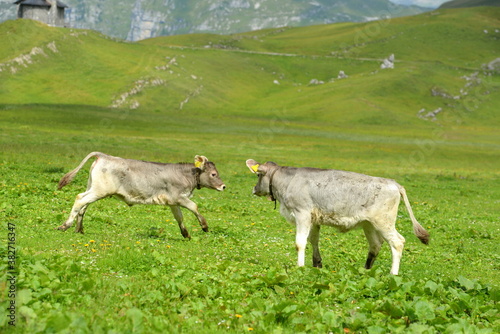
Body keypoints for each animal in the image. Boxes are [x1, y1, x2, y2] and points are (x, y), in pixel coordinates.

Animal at [56, 151, 225, 237]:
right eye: (214, 174)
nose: (223, 186)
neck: (185, 175)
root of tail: (103, 156)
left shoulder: (172, 202)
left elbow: (179, 217)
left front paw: (186, 234)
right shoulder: (178, 197)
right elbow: (194, 207)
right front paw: (204, 226)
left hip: (93, 187)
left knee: (84, 206)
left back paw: (79, 229)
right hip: (100, 190)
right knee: (79, 200)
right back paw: (65, 225)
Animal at [244, 160, 428, 276]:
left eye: (258, 175)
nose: (254, 189)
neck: (288, 181)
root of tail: (394, 183)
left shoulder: (302, 213)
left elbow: (300, 243)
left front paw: (300, 267)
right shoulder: (314, 219)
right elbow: (313, 240)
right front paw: (317, 264)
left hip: (384, 222)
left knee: (397, 242)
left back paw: (393, 273)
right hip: (369, 224)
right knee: (375, 245)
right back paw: (366, 270)